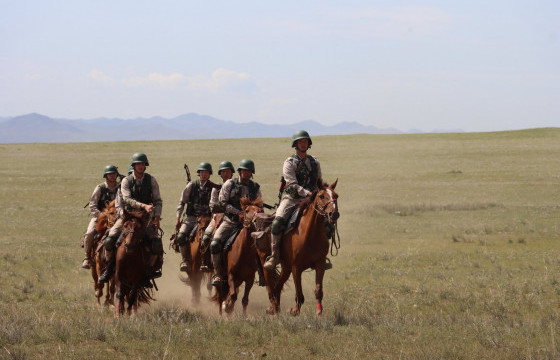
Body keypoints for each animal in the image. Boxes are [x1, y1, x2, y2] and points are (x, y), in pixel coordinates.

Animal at [258, 179, 336, 316]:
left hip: (286, 267)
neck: (311, 235)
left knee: (277, 287)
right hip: (267, 263)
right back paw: (273, 308)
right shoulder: (296, 268)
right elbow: (299, 294)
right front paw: (294, 311)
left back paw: (276, 309)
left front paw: (319, 313)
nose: (334, 214)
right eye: (321, 196)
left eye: (336, 196)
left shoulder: (320, 264)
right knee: (271, 287)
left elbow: (318, 291)